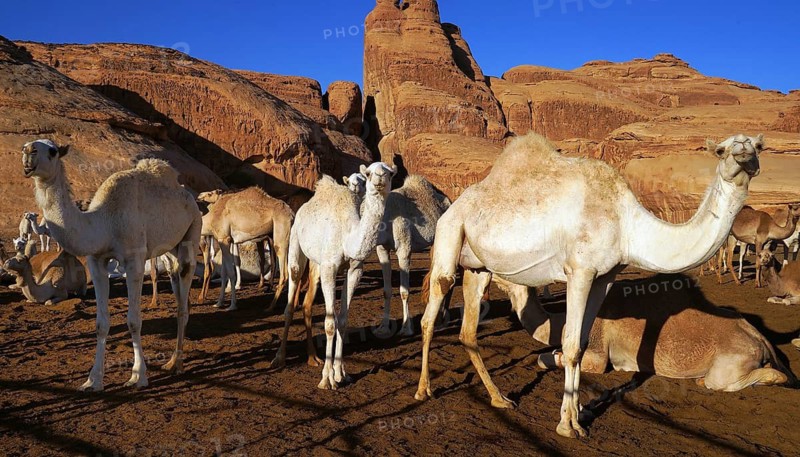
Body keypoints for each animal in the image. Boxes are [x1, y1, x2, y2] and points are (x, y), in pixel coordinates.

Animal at [22, 139, 201, 391]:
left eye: (53, 150)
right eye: (26, 147)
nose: (29, 151)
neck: (103, 222)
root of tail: (188, 195)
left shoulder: (134, 260)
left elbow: (134, 321)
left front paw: (138, 376)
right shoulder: (96, 261)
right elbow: (101, 324)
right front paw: (93, 380)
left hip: (193, 231)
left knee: (184, 299)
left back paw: (178, 365)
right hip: (171, 248)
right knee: (176, 282)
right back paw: (171, 362)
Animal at [272, 163, 396, 390]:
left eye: (390, 173)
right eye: (368, 173)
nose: (379, 179)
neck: (348, 235)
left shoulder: (355, 270)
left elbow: (343, 321)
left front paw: (341, 374)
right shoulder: (330, 268)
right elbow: (330, 324)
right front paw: (326, 380)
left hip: (316, 264)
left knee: (307, 303)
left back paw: (313, 358)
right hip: (295, 246)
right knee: (290, 301)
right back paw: (279, 358)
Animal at [375, 175, 450, 336]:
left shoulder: (404, 250)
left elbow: (404, 291)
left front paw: (406, 328)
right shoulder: (382, 249)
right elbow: (386, 290)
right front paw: (383, 327)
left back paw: (442, 319)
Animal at [415, 132, 761, 438]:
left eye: (759, 146)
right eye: (721, 150)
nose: (744, 149)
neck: (627, 225)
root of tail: (452, 206)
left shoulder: (605, 276)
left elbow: (581, 344)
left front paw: (578, 418)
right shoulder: (579, 271)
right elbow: (569, 345)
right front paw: (566, 426)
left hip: (478, 267)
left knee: (468, 332)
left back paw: (500, 398)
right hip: (450, 235)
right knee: (432, 311)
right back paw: (423, 390)